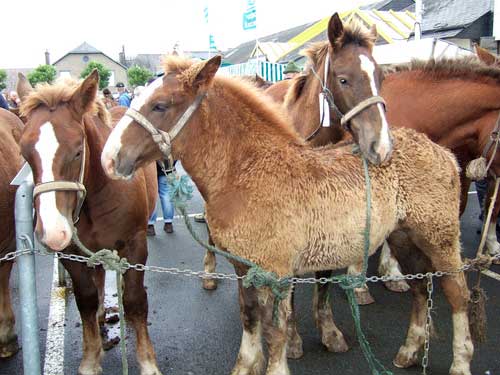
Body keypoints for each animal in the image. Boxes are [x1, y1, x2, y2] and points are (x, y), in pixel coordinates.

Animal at [16, 71, 161, 375]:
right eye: (25, 153)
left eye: (77, 151)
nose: (52, 232)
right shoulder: (71, 252)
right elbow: (86, 299)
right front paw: (90, 359)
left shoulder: (135, 245)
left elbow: (135, 300)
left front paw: (147, 361)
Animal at [100, 51, 472, 374]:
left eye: (160, 105)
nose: (109, 159)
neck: (246, 172)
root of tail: (444, 153)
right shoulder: (243, 268)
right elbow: (250, 320)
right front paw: (245, 367)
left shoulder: (277, 272)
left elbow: (276, 330)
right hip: (404, 238)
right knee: (421, 289)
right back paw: (409, 351)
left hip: (441, 238)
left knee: (457, 293)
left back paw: (460, 362)